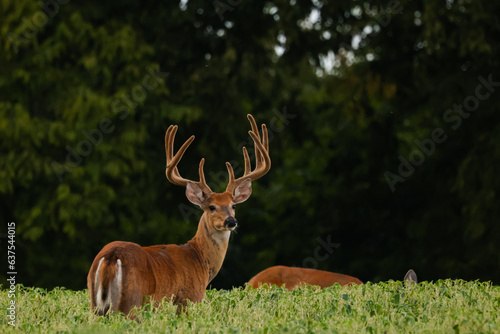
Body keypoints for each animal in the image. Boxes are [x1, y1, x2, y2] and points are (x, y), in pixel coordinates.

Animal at [88, 114, 272, 316]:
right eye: (211, 207)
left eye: (233, 205)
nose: (231, 221)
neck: (199, 261)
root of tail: (111, 257)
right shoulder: (189, 299)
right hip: (132, 301)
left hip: (95, 300)